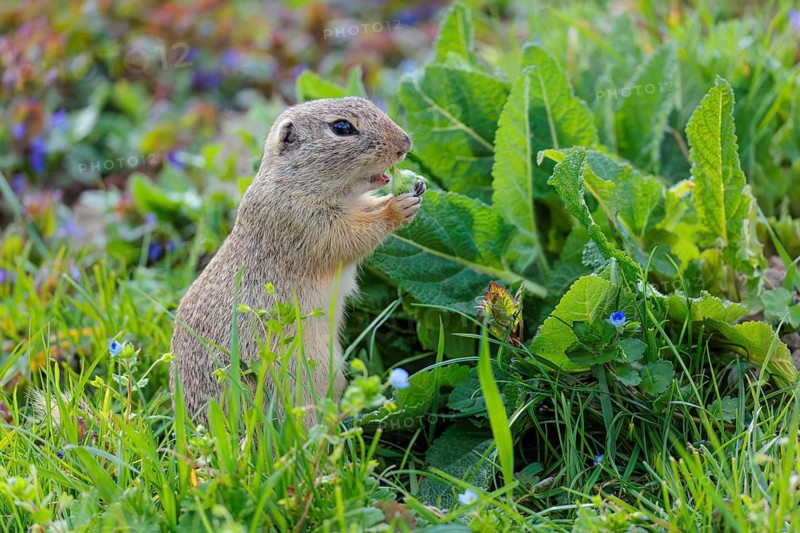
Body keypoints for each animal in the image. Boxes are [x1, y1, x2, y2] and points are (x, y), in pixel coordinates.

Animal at [169, 97, 424, 423]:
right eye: (342, 127)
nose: (405, 143)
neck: (293, 179)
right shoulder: (304, 221)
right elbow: (350, 237)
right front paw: (398, 207)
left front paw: (416, 187)